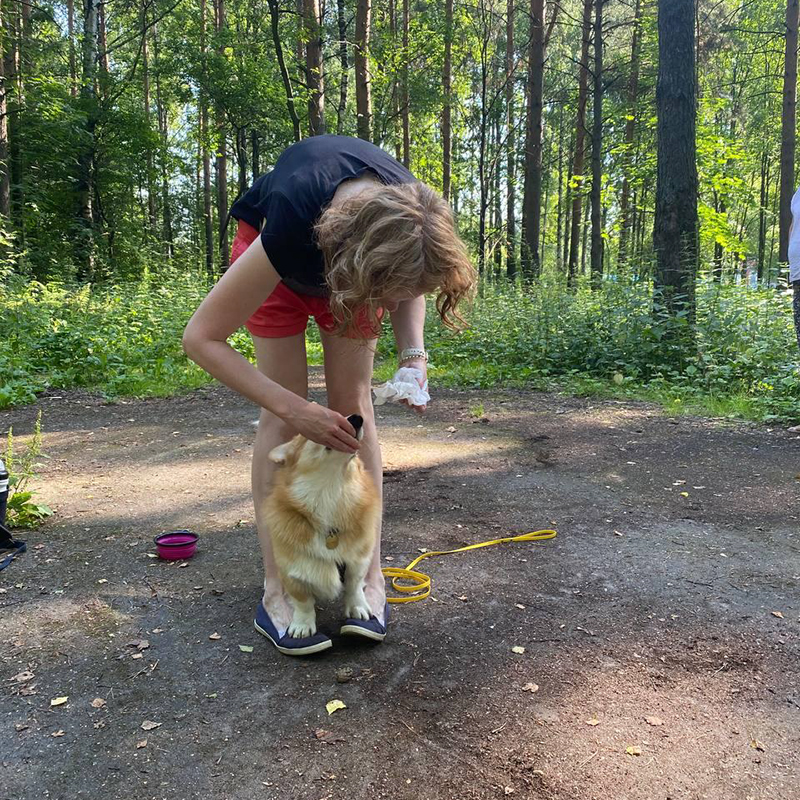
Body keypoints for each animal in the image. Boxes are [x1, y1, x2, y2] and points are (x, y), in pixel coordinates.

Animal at [262, 412, 382, 636]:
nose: (357, 418)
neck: (331, 490)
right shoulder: (293, 570)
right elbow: (303, 602)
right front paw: (302, 626)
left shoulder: (359, 558)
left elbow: (354, 584)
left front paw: (358, 608)